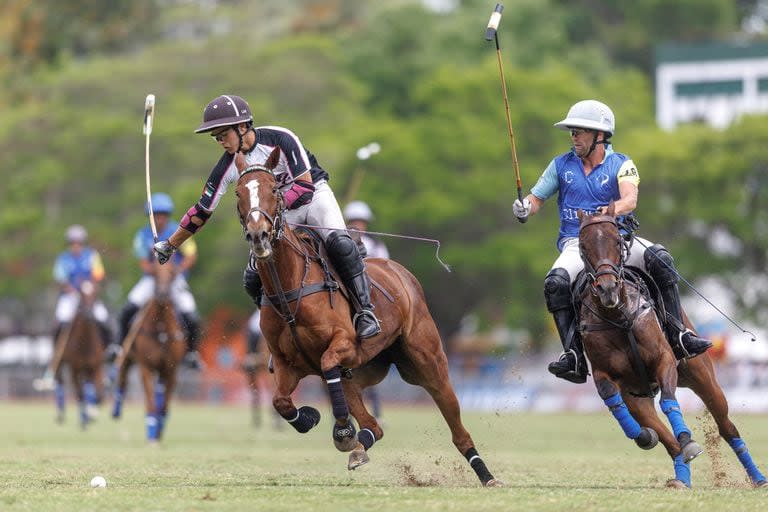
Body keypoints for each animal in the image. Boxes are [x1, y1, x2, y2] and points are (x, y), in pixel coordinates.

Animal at [53, 282, 105, 430]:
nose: (88, 314)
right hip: (60, 361)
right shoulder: (74, 370)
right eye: (81, 295)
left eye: (95, 294)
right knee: (60, 381)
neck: (85, 344)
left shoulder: (96, 367)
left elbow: (99, 394)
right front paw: (84, 421)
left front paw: (91, 414)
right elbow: (80, 394)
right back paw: (61, 415)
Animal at [112, 258, 187, 442]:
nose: (162, 293)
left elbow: (164, 406)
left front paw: (159, 432)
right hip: (127, 357)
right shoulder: (146, 367)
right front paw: (152, 435)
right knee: (122, 380)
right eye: (153, 273)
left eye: (172, 274)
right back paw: (116, 410)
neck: (160, 330)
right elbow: (151, 403)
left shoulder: (171, 370)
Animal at [231, 149, 500, 488]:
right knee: (372, 422)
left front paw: (343, 430)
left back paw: (486, 475)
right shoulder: (285, 363)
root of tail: (400, 271)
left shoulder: (342, 344)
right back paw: (362, 442)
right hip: (360, 373)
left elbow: (328, 362)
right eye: (238, 193)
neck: (290, 287)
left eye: (273, 190)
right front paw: (311, 418)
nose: (259, 236)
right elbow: (280, 401)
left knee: (455, 425)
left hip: (429, 364)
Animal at [580, 206, 764, 490]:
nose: (607, 288)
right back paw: (679, 474)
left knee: (726, 427)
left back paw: (757, 477)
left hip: (703, 377)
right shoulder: (605, 375)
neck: (619, 317)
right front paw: (649, 438)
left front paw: (688, 439)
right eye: (583, 245)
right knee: (665, 439)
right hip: (638, 395)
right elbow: (616, 403)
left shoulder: (663, 359)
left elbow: (668, 401)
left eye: (617, 241)